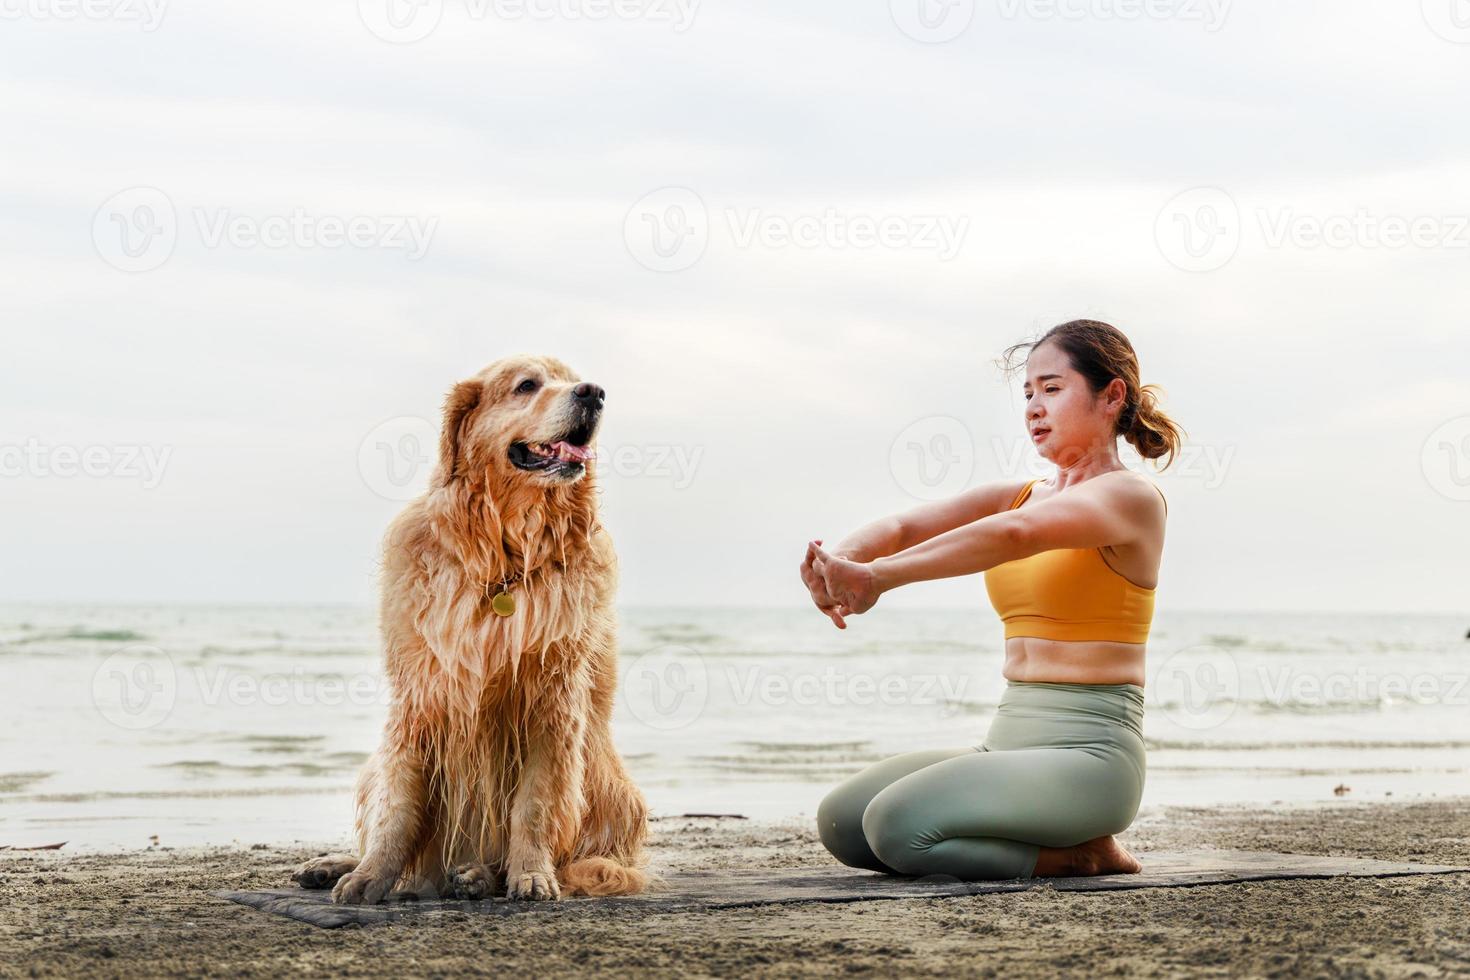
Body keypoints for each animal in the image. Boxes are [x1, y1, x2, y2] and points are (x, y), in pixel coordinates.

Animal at [292, 352, 649, 905]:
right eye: (527, 385)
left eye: (573, 379)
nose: (594, 393)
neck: (504, 554)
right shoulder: (419, 697)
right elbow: (398, 809)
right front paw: (371, 874)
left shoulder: (551, 701)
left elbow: (534, 805)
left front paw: (531, 873)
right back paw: (337, 864)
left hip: (613, 792)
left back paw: (480, 875)